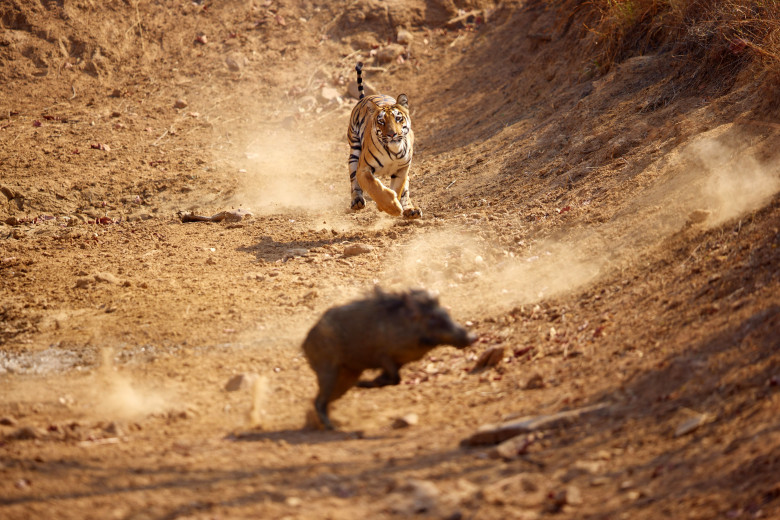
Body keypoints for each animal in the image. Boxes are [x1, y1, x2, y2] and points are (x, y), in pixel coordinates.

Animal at [348, 62, 420, 218]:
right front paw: (391, 207)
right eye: (381, 121)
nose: (392, 134)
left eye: (398, 118)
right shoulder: (363, 169)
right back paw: (357, 202)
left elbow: (398, 189)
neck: (394, 151)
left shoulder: (402, 170)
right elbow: (374, 187)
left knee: (405, 190)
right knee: (353, 180)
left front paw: (392, 206)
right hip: (354, 151)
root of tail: (366, 97)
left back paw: (411, 210)